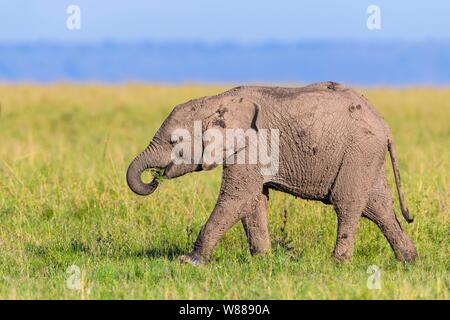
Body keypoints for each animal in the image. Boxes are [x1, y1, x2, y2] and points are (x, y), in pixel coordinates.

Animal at [126, 82, 418, 264]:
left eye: (174, 141)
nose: (154, 178)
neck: (217, 101)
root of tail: (385, 126)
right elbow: (253, 200)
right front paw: (262, 259)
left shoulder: (252, 145)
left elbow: (237, 197)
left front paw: (190, 261)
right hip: (366, 156)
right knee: (378, 206)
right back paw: (408, 259)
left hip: (359, 150)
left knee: (347, 203)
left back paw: (338, 263)